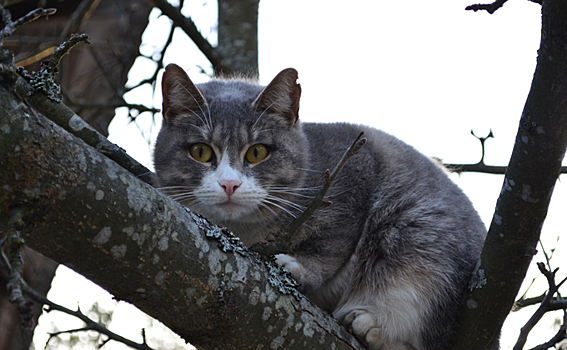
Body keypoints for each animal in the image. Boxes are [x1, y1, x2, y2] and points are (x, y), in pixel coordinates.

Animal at [153, 63, 490, 350]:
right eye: (200, 151)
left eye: (257, 152)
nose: (229, 184)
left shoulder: (356, 168)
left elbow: (331, 243)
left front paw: (298, 267)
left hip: (420, 241)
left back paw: (371, 328)